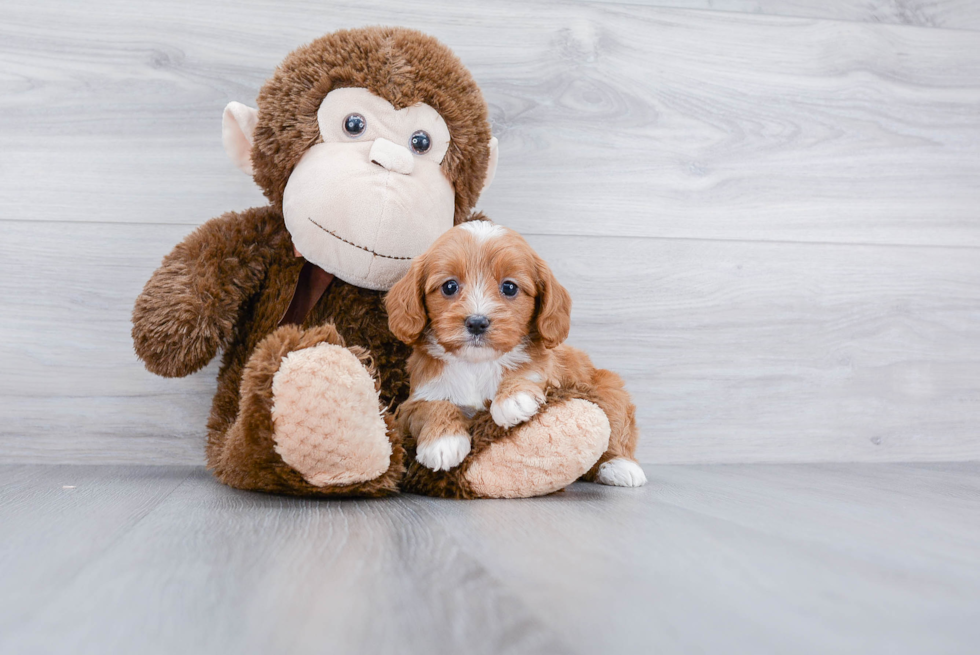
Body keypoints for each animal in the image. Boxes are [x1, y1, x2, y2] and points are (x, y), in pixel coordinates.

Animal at [386, 219, 648, 486]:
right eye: (449, 286)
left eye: (509, 287)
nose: (477, 322)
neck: (475, 364)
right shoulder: (412, 403)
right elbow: (433, 407)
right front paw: (442, 443)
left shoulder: (552, 377)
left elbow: (528, 375)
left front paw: (514, 397)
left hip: (609, 390)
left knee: (616, 429)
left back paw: (621, 466)